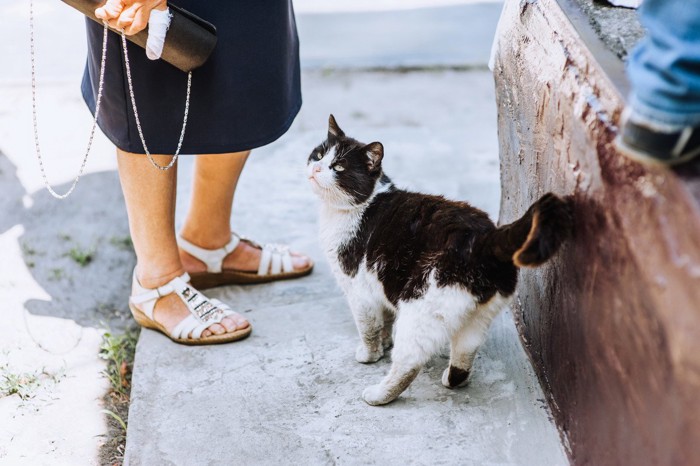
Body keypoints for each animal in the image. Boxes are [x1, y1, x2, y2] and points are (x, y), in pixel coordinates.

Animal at [308, 115, 572, 404]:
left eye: (338, 166)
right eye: (319, 154)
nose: (316, 169)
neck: (357, 208)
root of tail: (487, 238)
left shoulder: (358, 291)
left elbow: (368, 327)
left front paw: (370, 354)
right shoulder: (378, 287)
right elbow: (384, 320)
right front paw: (384, 343)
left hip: (420, 308)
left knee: (409, 363)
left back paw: (379, 394)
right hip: (480, 316)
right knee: (464, 356)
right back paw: (451, 379)